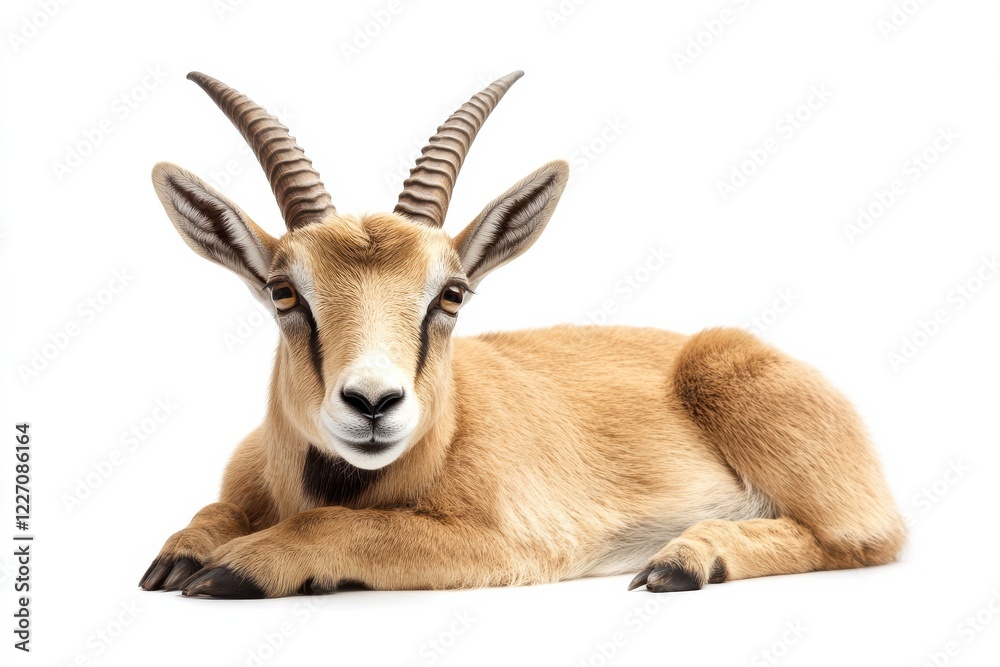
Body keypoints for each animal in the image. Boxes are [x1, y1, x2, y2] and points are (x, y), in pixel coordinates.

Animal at [140, 70, 905, 599]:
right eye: (283, 291)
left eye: (451, 292)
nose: (373, 404)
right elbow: (213, 513)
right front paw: (181, 554)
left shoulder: (509, 544)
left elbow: (348, 527)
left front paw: (235, 566)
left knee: (864, 538)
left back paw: (685, 558)